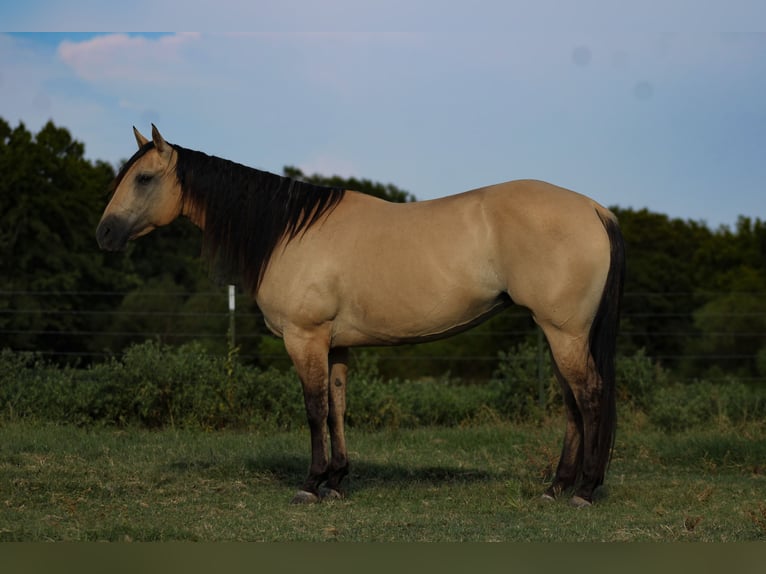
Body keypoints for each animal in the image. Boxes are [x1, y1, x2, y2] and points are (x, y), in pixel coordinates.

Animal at [96, 125, 625, 507]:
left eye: (144, 179)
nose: (103, 234)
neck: (288, 231)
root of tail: (594, 209)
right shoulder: (336, 344)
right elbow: (336, 408)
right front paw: (336, 481)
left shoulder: (304, 337)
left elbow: (313, 409)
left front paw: (310, 485)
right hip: (558, 334)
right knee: (572, 404)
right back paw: (555, 487)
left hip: (564, 333)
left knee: (590, 398)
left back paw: (583, 491)